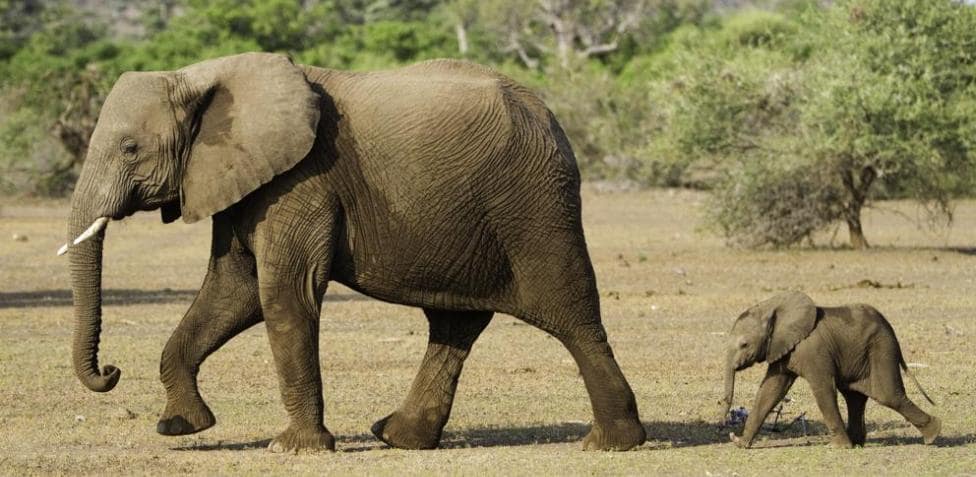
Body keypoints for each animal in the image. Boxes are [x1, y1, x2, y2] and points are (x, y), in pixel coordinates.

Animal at [59, 52, 646, 453]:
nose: (110, 371)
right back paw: (398, 437)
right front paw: (181, 427)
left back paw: (612, 443)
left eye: (129, 148)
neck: (202, 77)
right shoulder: (243, 179)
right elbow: (233, 291)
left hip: (534, 205)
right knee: (454, 325)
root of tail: (550, 116)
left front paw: (293, 448)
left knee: (571, 316)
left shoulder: (302, 180)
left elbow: (283, 294)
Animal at [717, 291, 940, 448]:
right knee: (855, 396)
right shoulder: (783, 348)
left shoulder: (813, 349)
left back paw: (933, 436)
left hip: (881, 349)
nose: (724, 427)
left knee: (887, 395)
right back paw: (857, 443)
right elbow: (770, 390)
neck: (771, 308)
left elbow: (822, 388)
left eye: (744, 344)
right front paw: (740, 444)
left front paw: (837, 447)